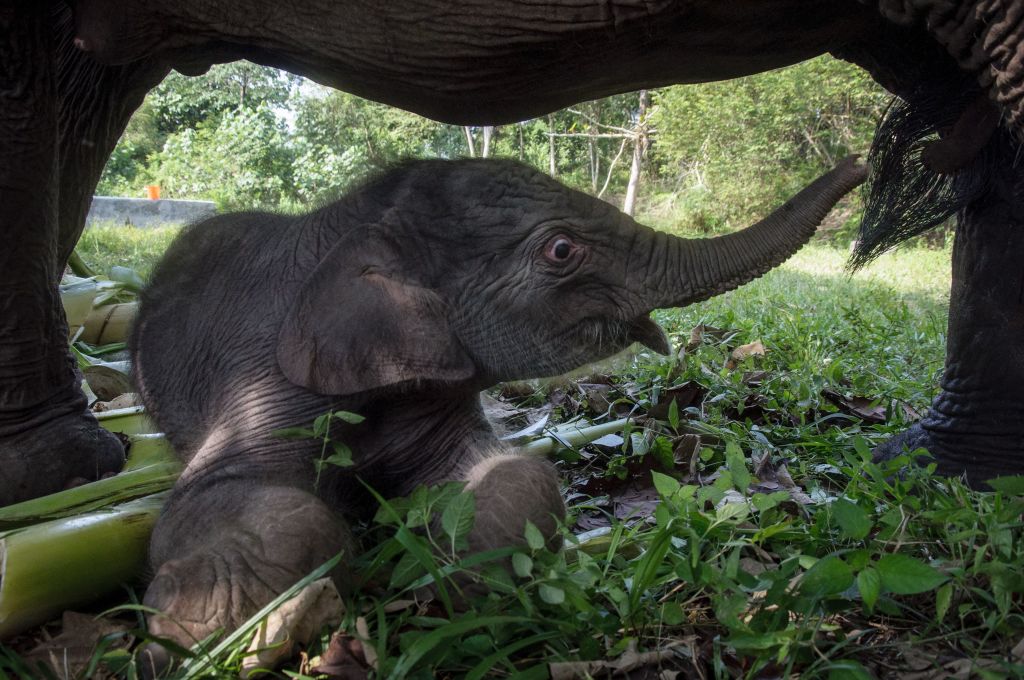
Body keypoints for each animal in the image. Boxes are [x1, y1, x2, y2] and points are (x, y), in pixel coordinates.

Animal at [130, 153, 864, 663]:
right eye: (562, 249)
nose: (862, 162)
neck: (356, 225)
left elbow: (514, 475)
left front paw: (452, 584)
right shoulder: (265, 372)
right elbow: (238, 494)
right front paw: (191, 626)